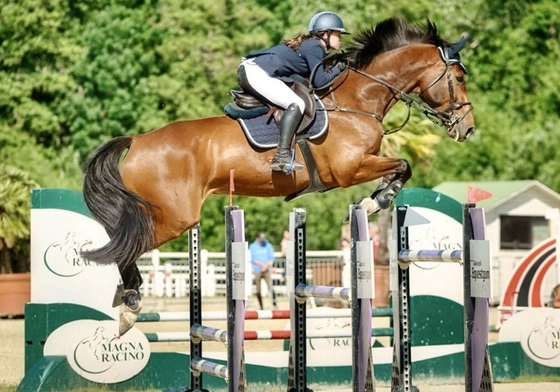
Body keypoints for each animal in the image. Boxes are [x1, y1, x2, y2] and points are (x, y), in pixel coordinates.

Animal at [82, 16, 476, 336]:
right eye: (458, 78)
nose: (468, 129)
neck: (358, 99)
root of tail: (138, 141)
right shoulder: (349, 169)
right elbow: (403, 165)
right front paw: (376, 200)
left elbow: (401, 166)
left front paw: (377, 198)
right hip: (174, 217)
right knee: (126, 247)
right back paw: (131, 305)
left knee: (123, 240)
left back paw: (126, 299)